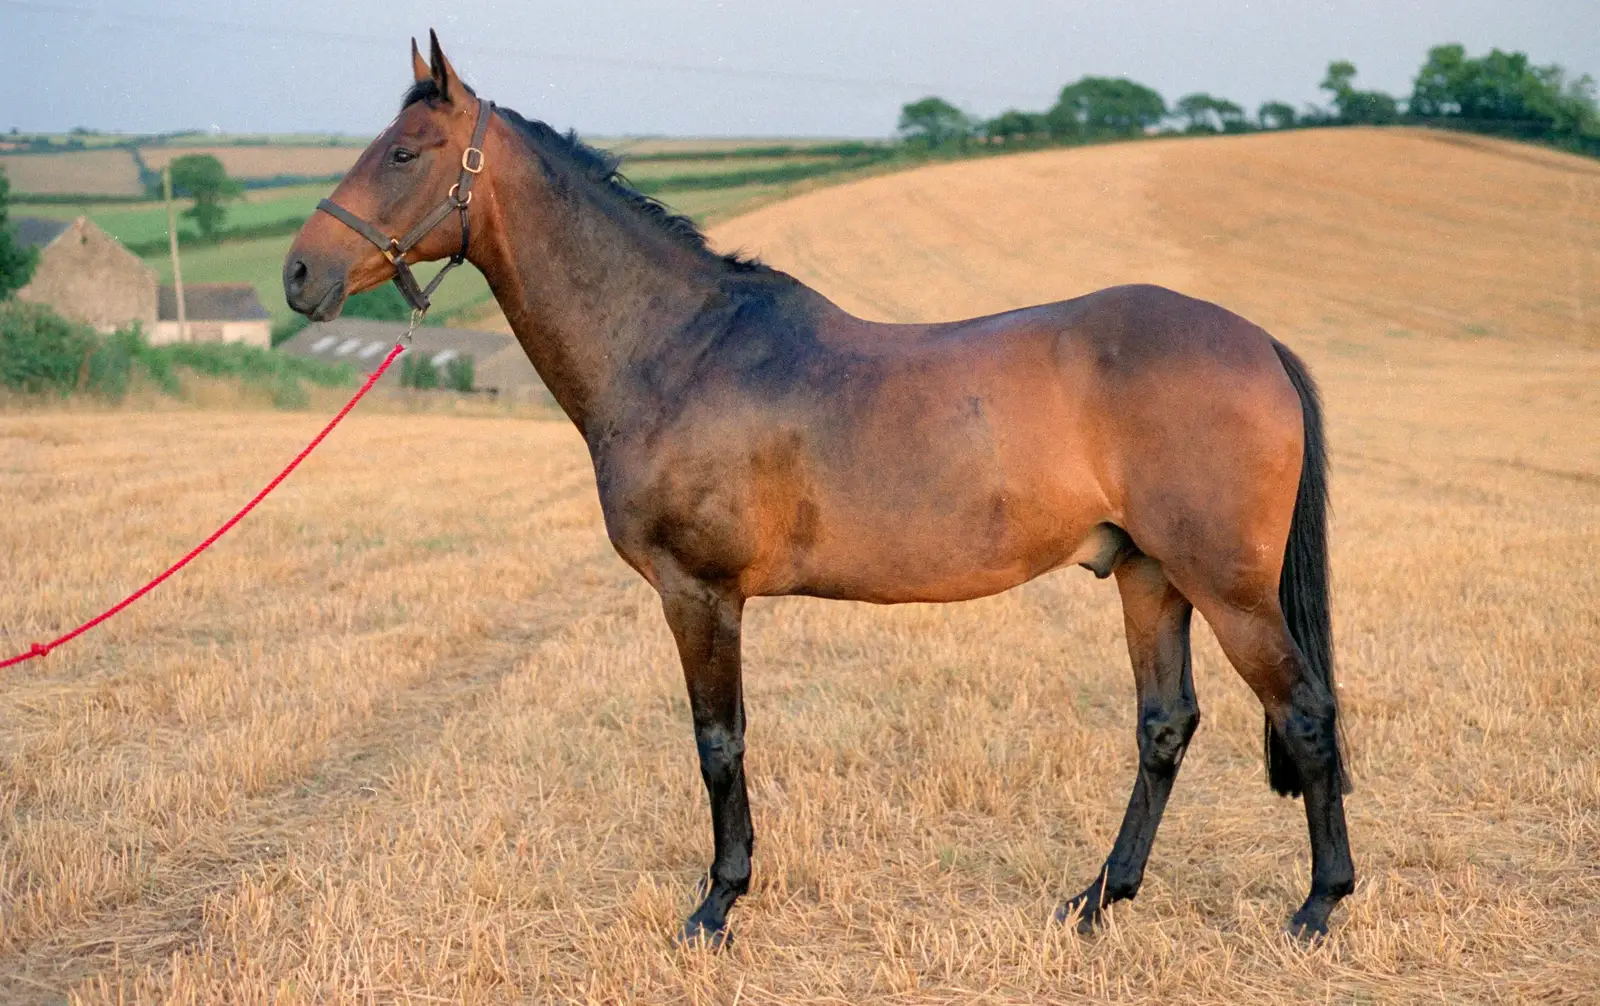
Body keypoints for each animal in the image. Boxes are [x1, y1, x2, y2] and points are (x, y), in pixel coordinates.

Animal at [284, 31, 1350, 940]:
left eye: (406, 153)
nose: (299, 274)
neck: (677, 347)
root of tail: (1257, 342)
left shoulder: (700, 593)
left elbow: (719, 743)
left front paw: (717, 905)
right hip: (1149, 577)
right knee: (1164, 726)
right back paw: (1098, 900)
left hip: (1226, 588)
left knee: (1304, 712)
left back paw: (1318, 905)